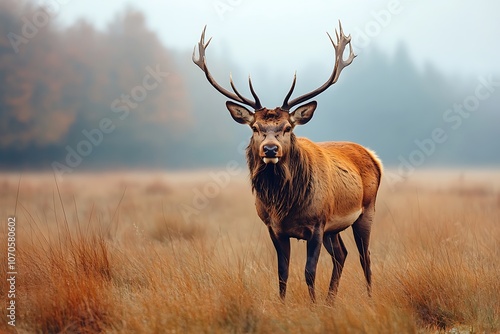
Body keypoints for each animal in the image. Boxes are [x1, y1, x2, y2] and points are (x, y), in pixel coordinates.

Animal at [191, 22, 382, 302]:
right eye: (256, 127)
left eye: (288, 127)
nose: (270, 149)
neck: (285, 205)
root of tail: (372, 155)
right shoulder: (274, 228)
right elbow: (282, 273)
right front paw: (285, 304)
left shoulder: (317, 224)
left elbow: (309, 272)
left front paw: (313, 306)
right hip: (334, 228)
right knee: (341, 255)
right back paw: (331, 300)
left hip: (366, 210)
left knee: (364, 256)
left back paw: (367, 297)